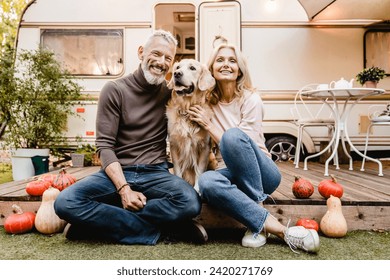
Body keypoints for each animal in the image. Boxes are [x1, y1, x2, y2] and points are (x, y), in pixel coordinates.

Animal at [166, 59, 216, 192]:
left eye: (192, 68)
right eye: (177, 67)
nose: (176, 74)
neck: (187, 110)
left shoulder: (204, 147)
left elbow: (199, 170)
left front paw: (197, 189)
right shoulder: (174, 144)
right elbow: (177, 169)